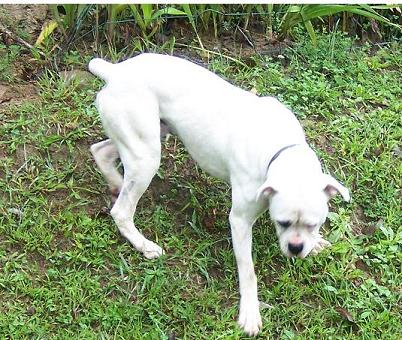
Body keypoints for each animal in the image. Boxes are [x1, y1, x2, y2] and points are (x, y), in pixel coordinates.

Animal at [88, 54, 348, 336]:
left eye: (313, 224)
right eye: (282, 222)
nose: (296, 248)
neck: (279, 148)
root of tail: (115, 71)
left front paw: (316, 242)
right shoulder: (240, 221)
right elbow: (248, 271)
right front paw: (250, 313)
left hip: (147, 138)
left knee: (100, 152)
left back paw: (116, 183)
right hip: (146, 156)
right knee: (121, 210)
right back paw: (143, 244)